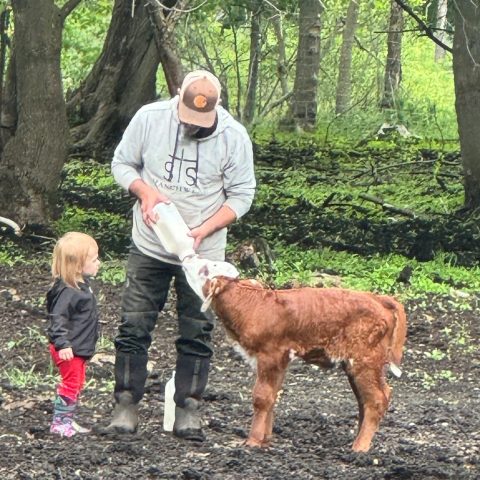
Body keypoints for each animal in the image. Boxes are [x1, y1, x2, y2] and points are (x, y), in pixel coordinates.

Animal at [201, 276, 406, 452]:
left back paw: (360, 447)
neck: (255, 305)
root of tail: (377, 298)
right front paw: (265, 439)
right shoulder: (280, 360)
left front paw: (253, 441)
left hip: (365, 361)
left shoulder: (269, 355)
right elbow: (272, 396)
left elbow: (261, 397)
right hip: (356, 365)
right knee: (367, 399)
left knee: (377, 398)